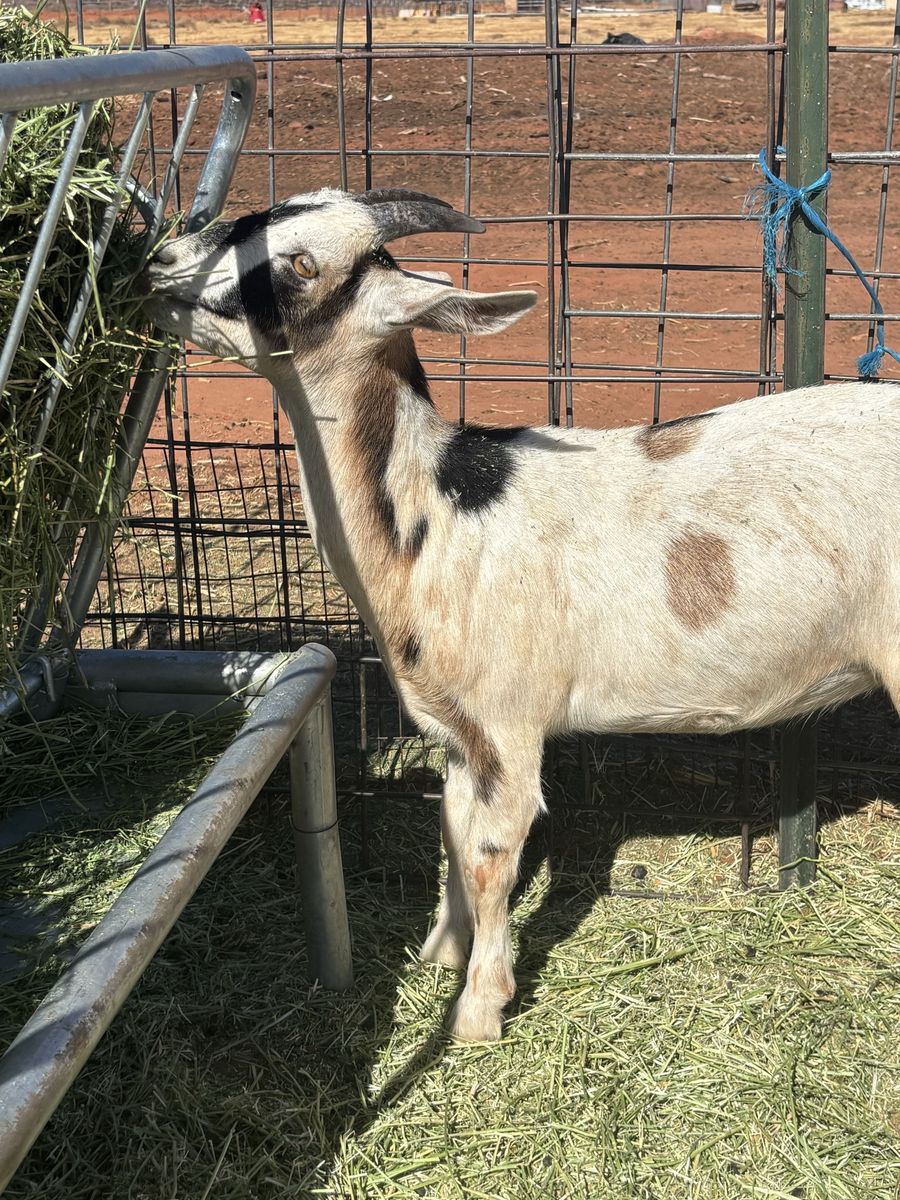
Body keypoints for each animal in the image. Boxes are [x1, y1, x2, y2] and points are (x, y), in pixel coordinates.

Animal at [145, 187, 900, 1041]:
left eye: (302, 263)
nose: (162, 261)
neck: (438, 514)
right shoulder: (457, 729)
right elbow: (449, 831)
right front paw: (440, 952)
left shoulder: (508, 723)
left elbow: (489, 855)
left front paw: (477, 1010)